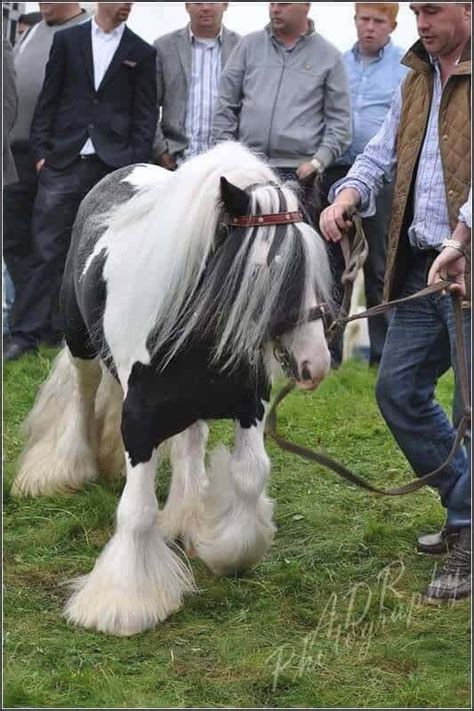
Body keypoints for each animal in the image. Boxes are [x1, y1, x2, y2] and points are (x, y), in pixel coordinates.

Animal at [10, 142, 330, 636]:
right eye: (266, 273)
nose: (316, 364)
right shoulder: (139, 422)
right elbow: (137, 512)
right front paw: (124, 602)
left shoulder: (249, 405)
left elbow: (250, 474)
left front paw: (226, 548)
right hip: (80, 341)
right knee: (83, 397)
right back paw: (73, 466)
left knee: (191, 439)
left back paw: (187, 514)